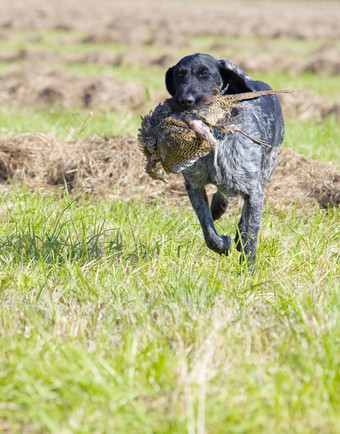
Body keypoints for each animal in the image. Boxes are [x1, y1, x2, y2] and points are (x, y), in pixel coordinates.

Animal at [165, 52, 284, 262]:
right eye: (179, 75)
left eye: (205, 74)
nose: (185, 100)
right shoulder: (194, 185)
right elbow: (208, 230)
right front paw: (222, 245)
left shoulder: (254, 189)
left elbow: (250, 235)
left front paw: (247, 267)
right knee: (222, 194)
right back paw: (219, 207)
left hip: (266, 169)